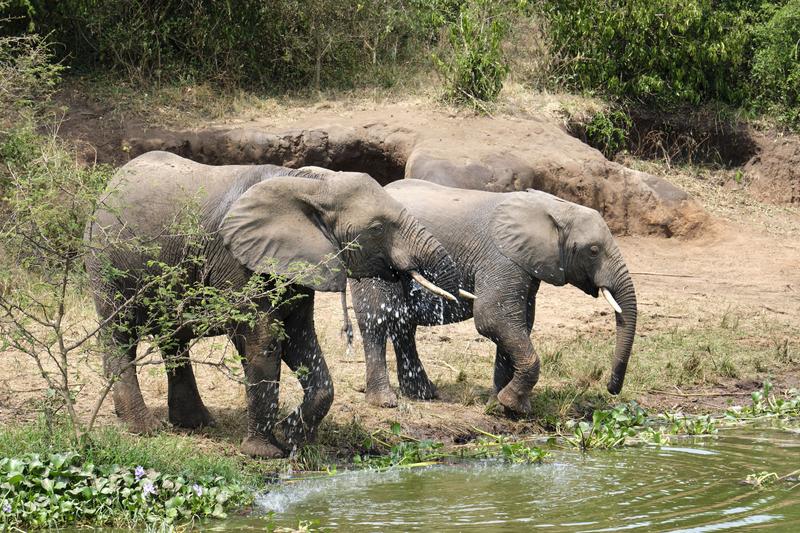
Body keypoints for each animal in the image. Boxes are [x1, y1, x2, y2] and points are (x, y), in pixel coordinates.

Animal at [83, 151, 460, 458]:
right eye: (379, 228)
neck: (311, 184)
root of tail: (105, 189)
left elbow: (297, 337)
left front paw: (289, 435)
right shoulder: (236, 260)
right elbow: (261, 339)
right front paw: (264, 453)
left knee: (174, 340)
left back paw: (197, 423)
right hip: (106, 261)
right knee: (119, 333)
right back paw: (144, 428)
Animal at [350, 181, 636, 414]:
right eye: (594, 250)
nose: (611, 388)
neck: (554, 207)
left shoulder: (523, 264)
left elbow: (519, 323)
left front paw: (500, 405)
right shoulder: (501, 259)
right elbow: (493, 319)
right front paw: (512, 405)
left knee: (403, 324)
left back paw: (424, 394)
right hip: (372, 258)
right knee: (378, 320)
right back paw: (384, 401)